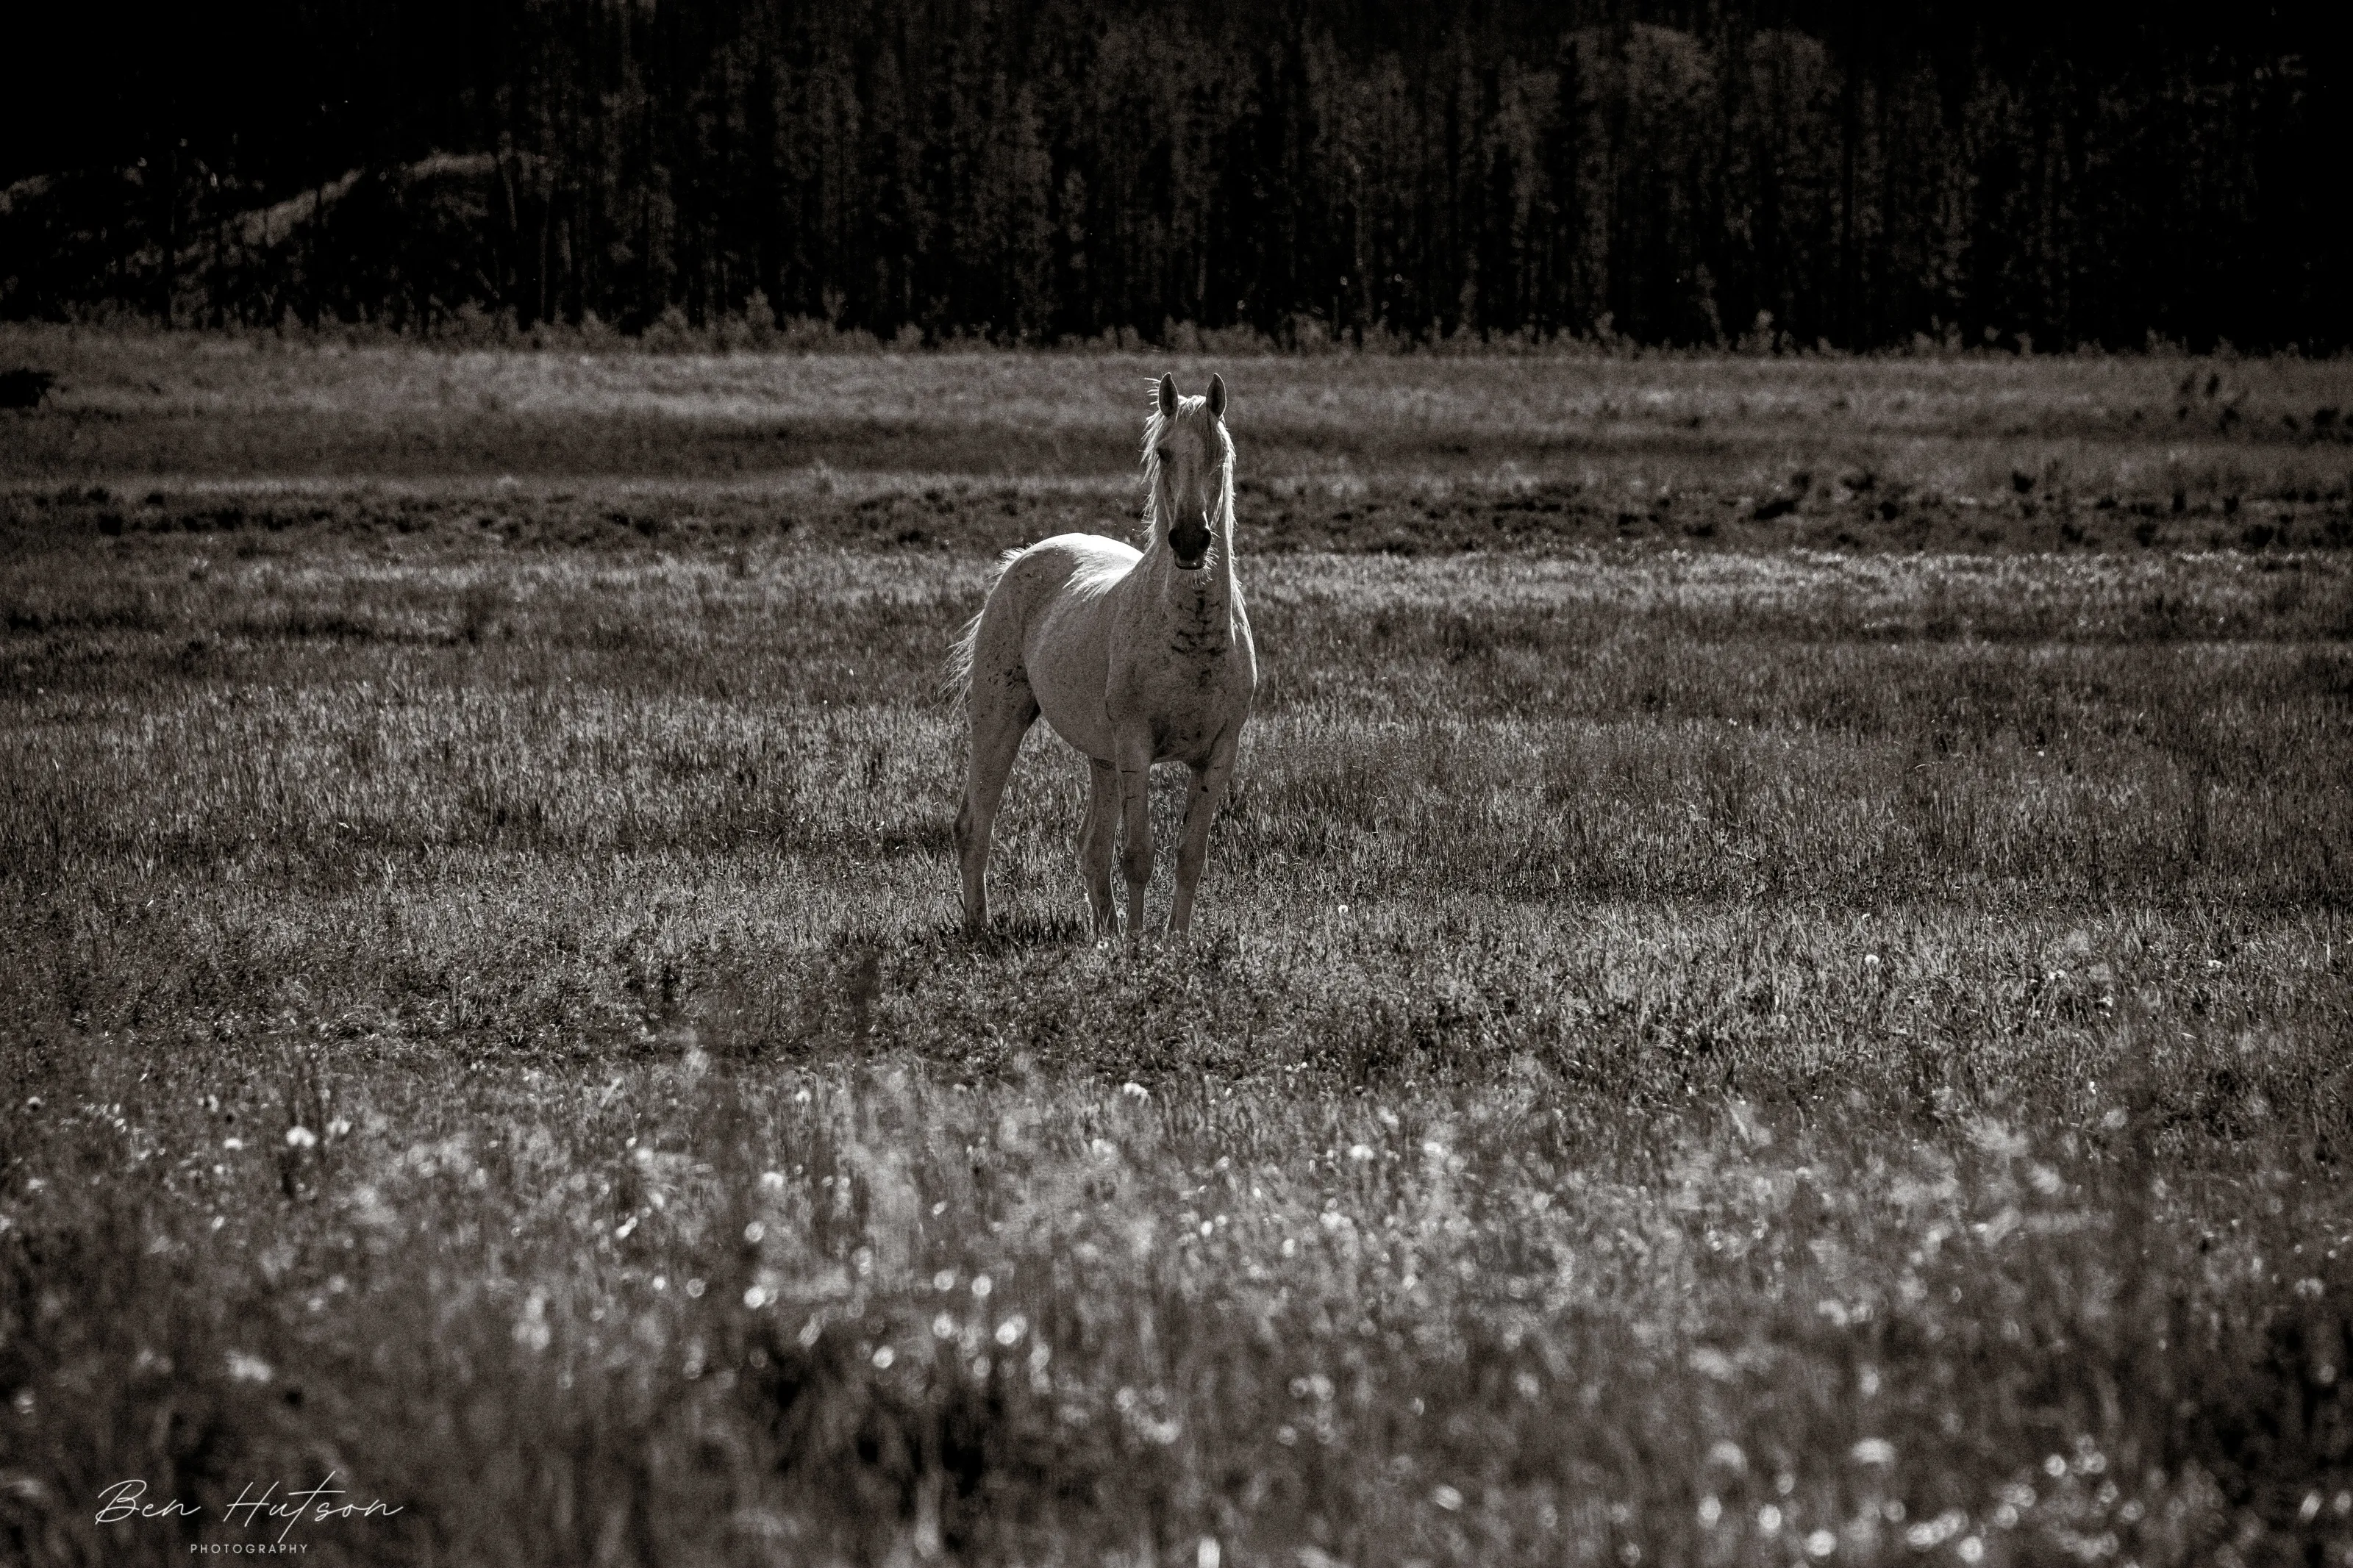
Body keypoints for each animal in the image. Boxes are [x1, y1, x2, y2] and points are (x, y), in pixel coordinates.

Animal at [949, 371, 1258, 943]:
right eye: (1162, 452)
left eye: (1220, 453)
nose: (1189, 540)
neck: (1192, 637)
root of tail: (1022, 558)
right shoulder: (1135, 745)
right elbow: (1138, 855)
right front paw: (1138, 948)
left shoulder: (1218, 753)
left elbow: (1189, 855)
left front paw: (1173, 942)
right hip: (1001, 720)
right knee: (974, 824)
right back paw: (980, 929)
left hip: (1102, 756)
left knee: (1090, 847)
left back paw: (1105, 933)